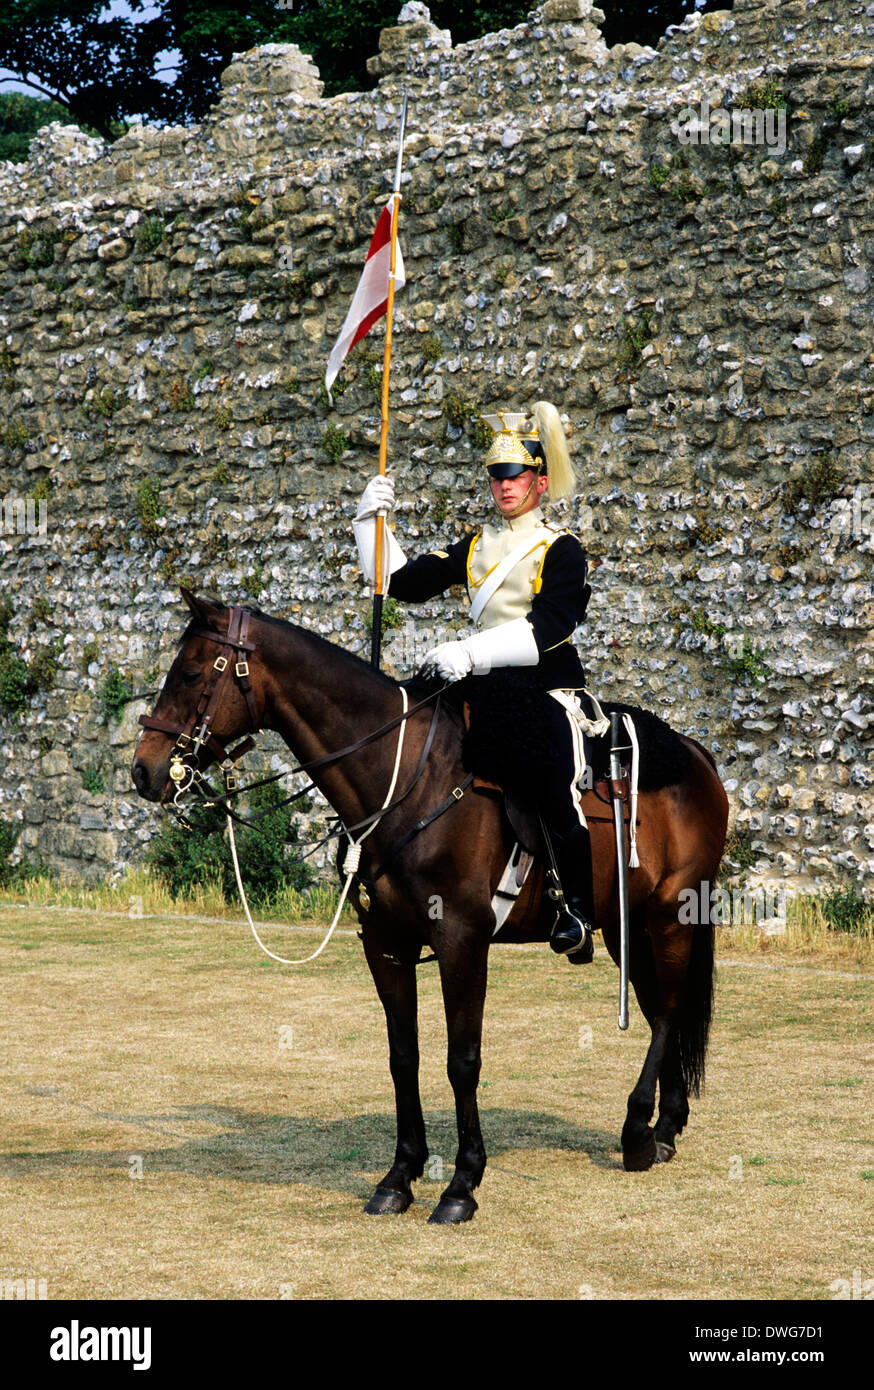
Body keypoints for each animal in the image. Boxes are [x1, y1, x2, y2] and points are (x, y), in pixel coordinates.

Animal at [131, 592, 728, 1223]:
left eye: (190, 673)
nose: (144, 769)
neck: (404, 783)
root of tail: (696, 754)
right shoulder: (386, 944)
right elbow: (404, 1057)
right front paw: (400, 1175)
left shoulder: (462, 942)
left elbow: (462, 1061)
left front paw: (462, 1184)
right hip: (624, 925)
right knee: (658, 1008)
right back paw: (666, 1125)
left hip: (670, 914)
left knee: (668, 1010)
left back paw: (638, 1131)